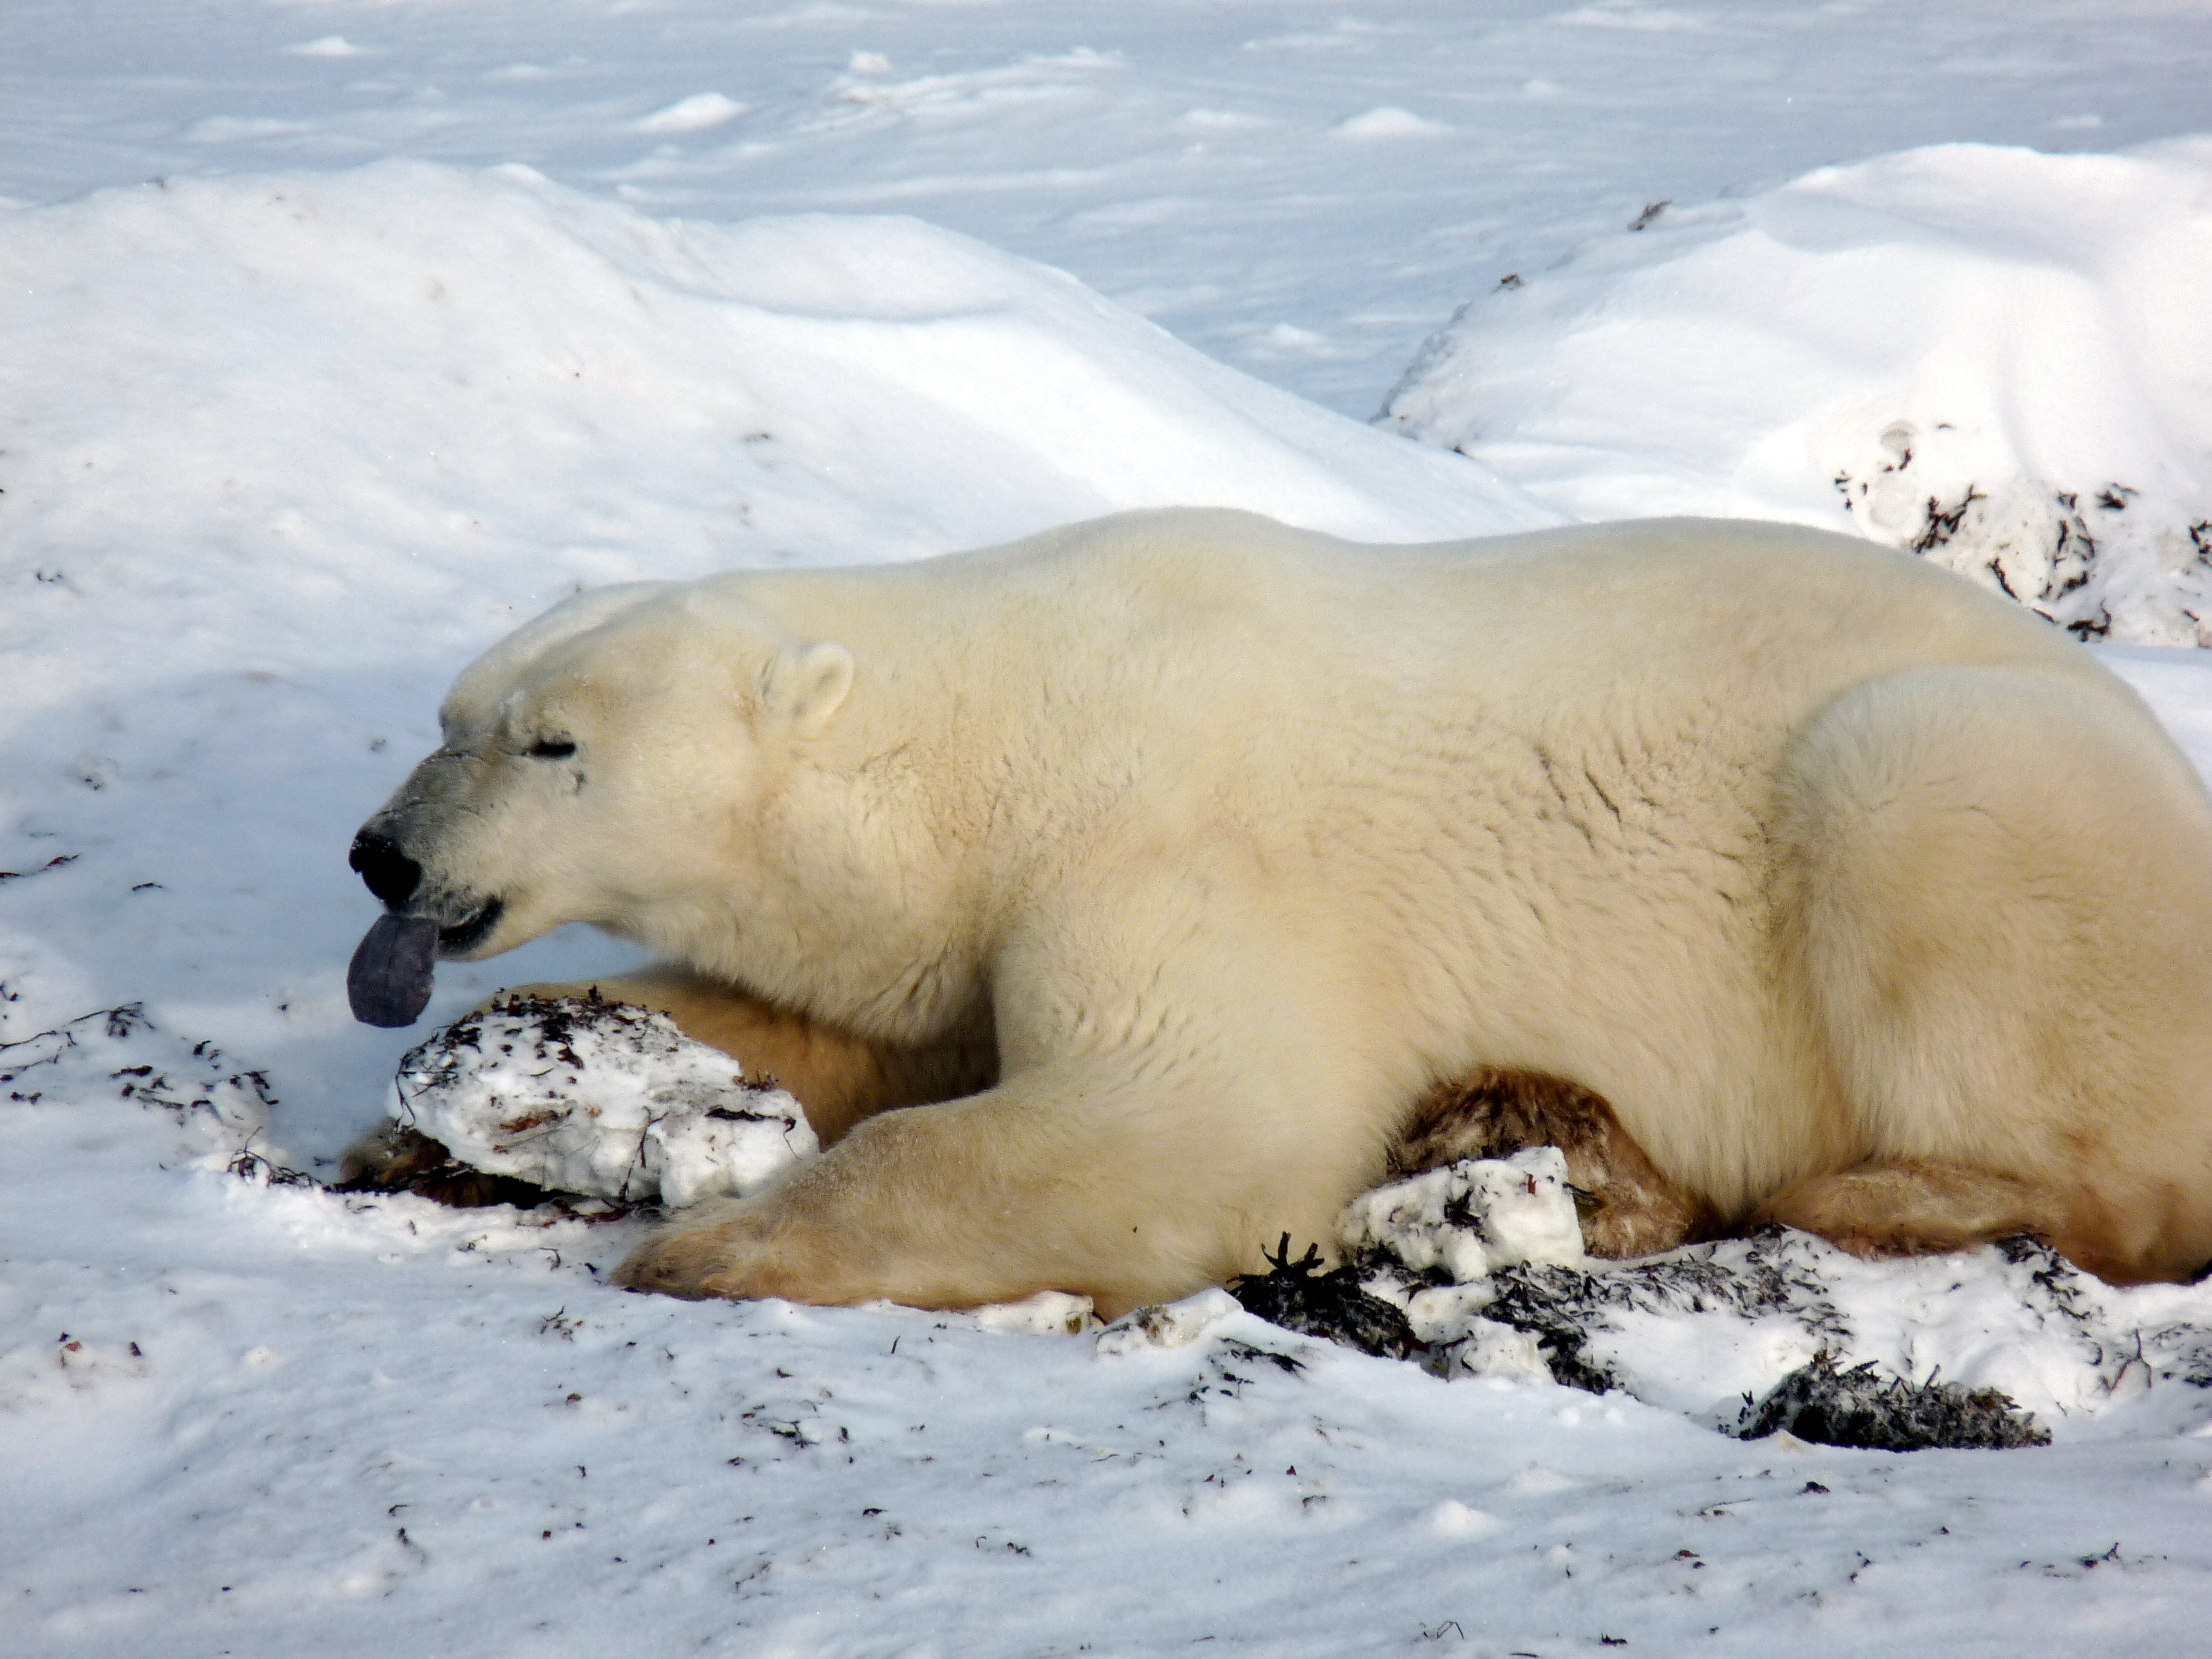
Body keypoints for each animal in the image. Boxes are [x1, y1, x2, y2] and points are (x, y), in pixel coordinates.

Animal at [348, 508, 2212, 1318]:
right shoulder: (955, 922)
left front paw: (713, 1243)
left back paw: (1865, 1191)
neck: (1001, 729)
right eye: (450, 712)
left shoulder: (1170, 846)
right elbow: (836, 1024)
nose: (379, 855)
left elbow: (1193, 1120)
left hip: (1979, 788)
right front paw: (457, 1117)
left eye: (551, 740)